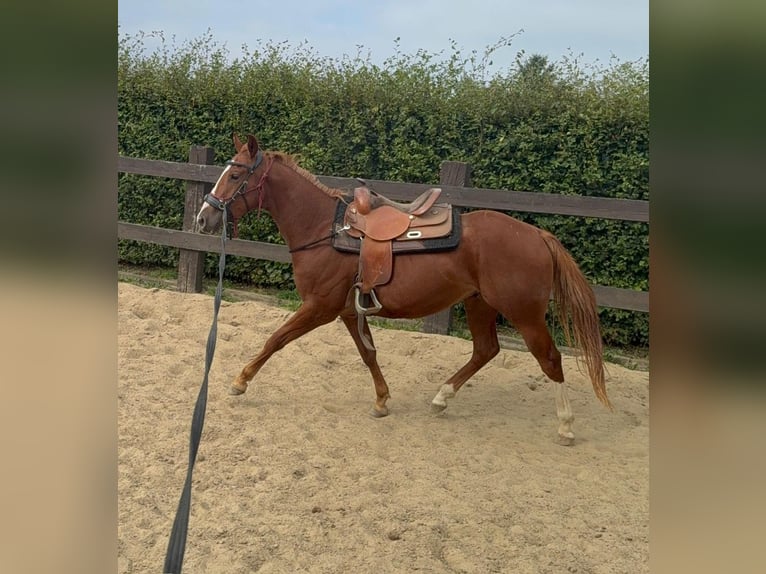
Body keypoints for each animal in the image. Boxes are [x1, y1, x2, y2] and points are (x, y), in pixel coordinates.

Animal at [195, 134, 611, 445]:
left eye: (235, 175)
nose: (204, 217)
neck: (325, 230)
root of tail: (539, 235)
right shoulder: (348, 311)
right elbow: (368, 354)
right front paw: (381, 400)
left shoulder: (318, 307)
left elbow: (275, 339)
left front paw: (240, 381)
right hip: (479, 304)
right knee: (485, 350)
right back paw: (442, 398)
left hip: (524, 314)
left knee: (550, 359)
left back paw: (566, 425)